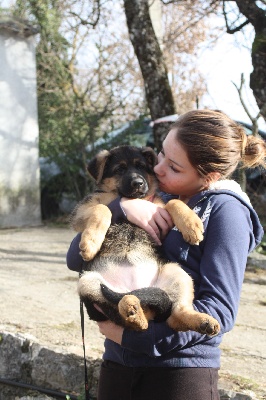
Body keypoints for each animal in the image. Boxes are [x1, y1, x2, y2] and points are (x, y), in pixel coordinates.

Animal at [70, 145, 220, 336]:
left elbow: (172, 203)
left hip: (177, 272)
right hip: (87, 282)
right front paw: (90, 244)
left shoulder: (160, 215)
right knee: (126, 316)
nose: (138, 183)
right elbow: (103, 208)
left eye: (141, 166)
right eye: (119, 169)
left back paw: (202, 321)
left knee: (175, 315)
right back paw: (134, 313)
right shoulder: (81, 211)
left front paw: (191, 225)